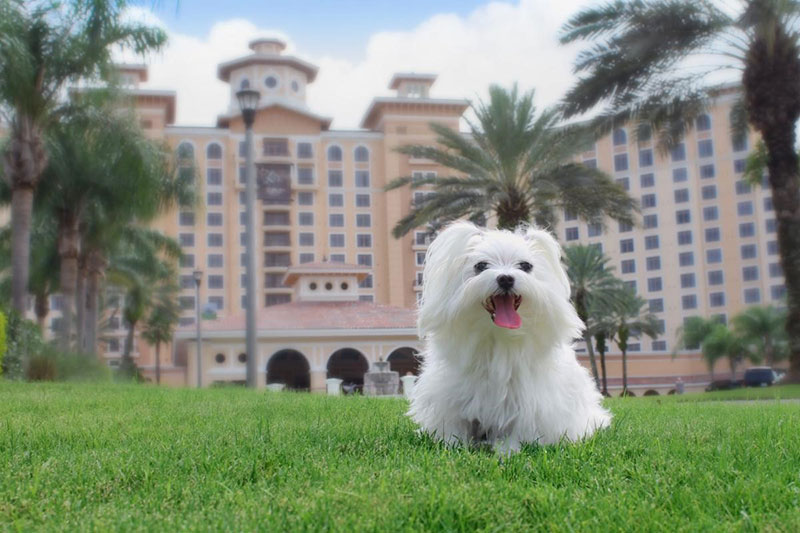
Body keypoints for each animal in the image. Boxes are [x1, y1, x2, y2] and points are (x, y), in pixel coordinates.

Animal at [410, 221, 608, 454]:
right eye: (481, 266)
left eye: (525, 266)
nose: (505, 278)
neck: (499, 339)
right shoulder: (450, 398)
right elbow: (453, 427)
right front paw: (452, 445)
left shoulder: (530, 405)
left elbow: (518, 431)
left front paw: (506, 451)